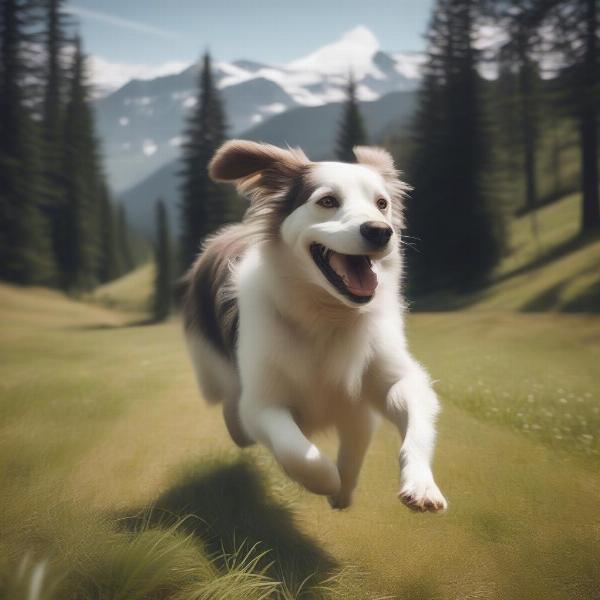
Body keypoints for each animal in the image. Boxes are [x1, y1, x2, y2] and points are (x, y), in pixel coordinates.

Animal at [182, 141, 446, 510]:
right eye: (327, 201)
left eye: (382, 204)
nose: (381, 231)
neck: (327, 316)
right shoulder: (262, 403)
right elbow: (297, 451)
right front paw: (326, 480)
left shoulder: (388, 378)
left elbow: (411, 417)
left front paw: (419, 485)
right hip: (212, 368)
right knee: (231, 407)